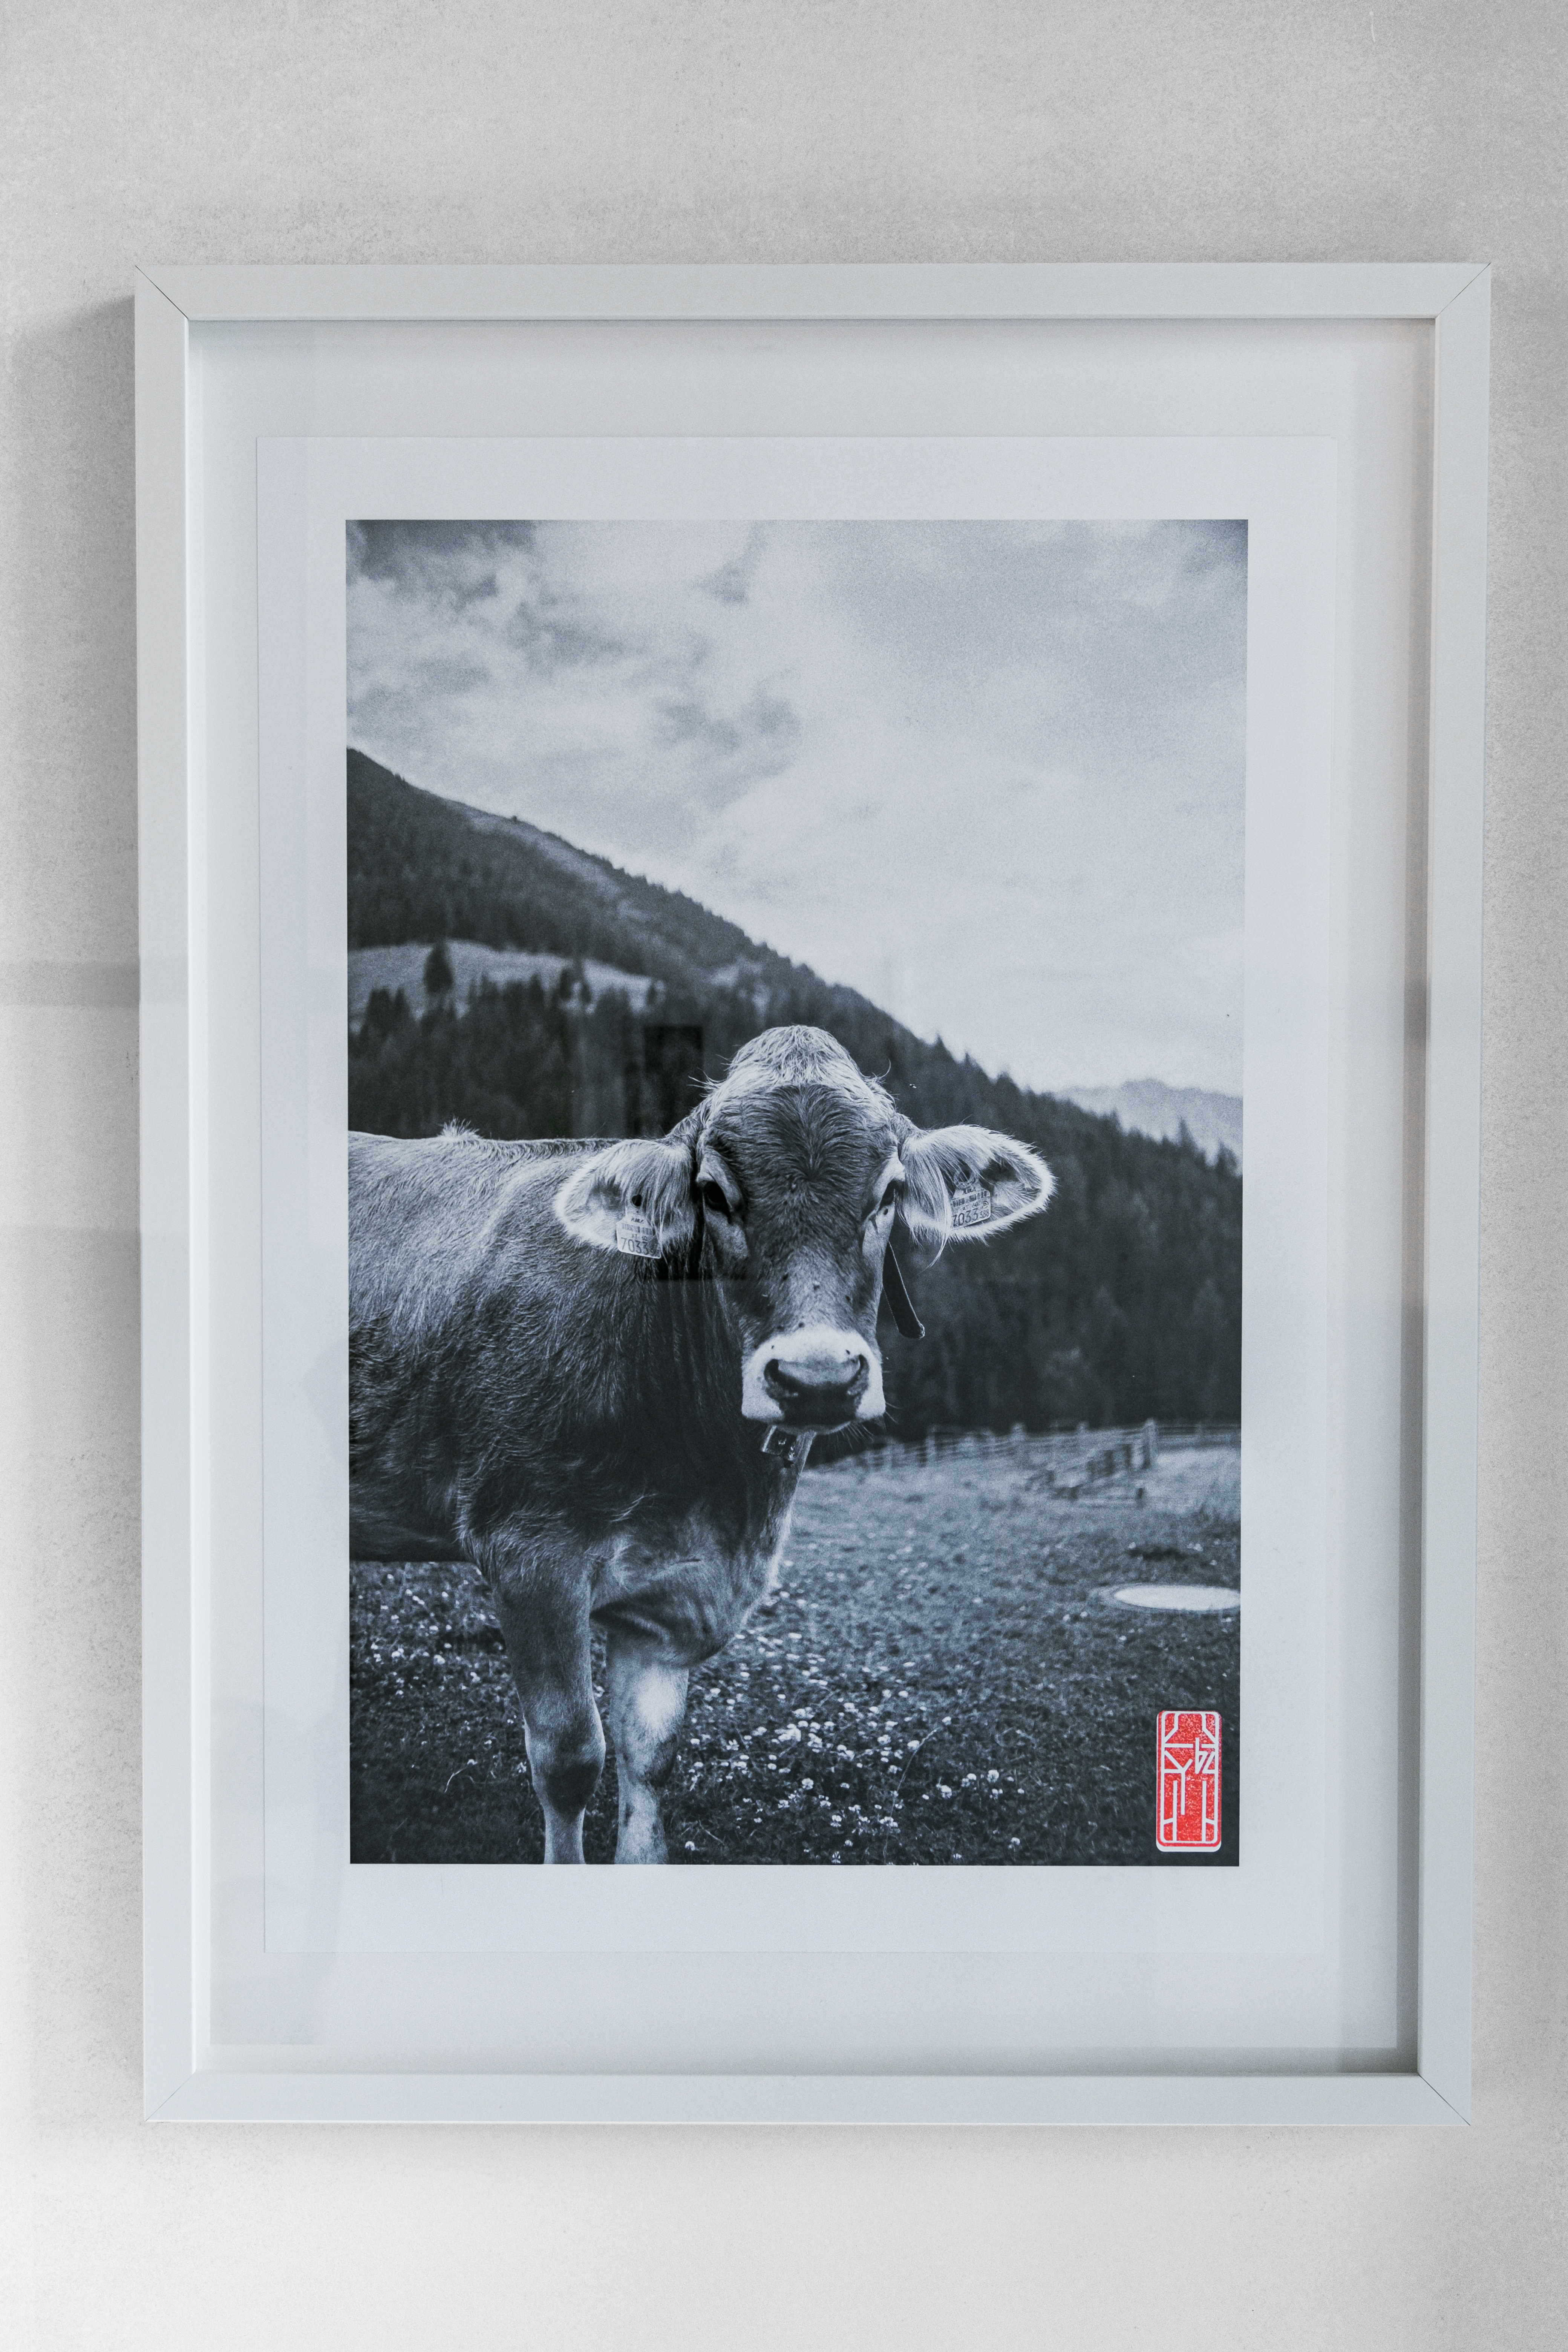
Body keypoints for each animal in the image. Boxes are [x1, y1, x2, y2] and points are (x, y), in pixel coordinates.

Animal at [349, 1025, 1053, 1863]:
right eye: (714, 1194)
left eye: (887, 1193)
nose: (817, 1377)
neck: (710, 1485)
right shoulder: (528, 1554)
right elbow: (569, 1758)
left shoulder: (673, 1597)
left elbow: (651, 1759)